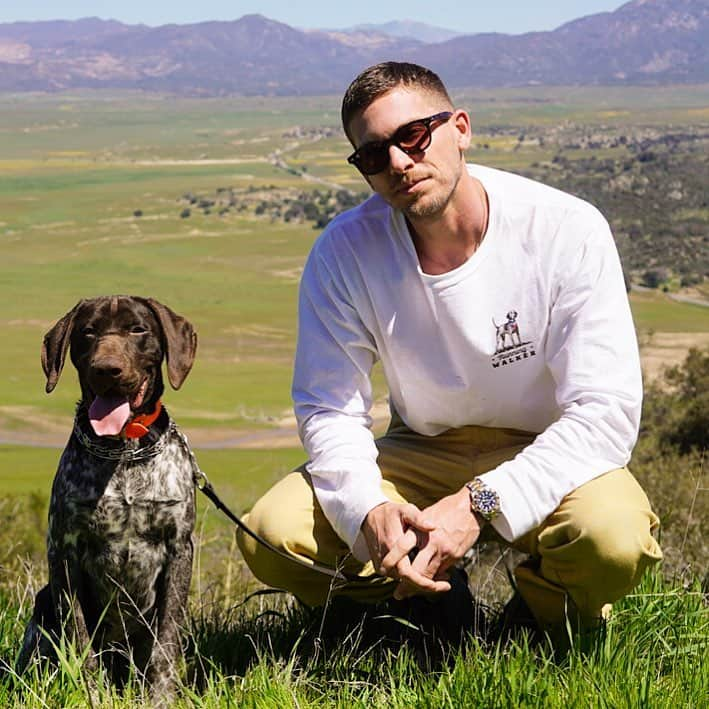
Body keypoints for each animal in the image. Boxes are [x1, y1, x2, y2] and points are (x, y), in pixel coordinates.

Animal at [17, 296, 199, 700]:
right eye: (88, 332)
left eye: (138, 329)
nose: (107, 370)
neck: (124, 453)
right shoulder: (65, 552)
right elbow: (80, 642)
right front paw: (91, 696)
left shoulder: (179, 550)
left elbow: (165, 645)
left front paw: (161, 698)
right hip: (44, 602)